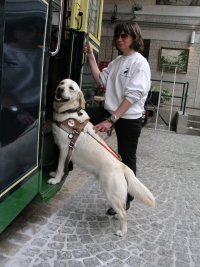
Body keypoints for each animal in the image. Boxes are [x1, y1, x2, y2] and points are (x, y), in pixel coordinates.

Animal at [48, 79, 155, 237]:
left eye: (71, 88)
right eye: (62, 83)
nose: (60, 89)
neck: (69, 114)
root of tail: (123, 166)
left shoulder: (64, 149)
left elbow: (61, 167)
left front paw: (56, 179)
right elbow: (58, 167)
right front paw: (54, 174)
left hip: (111, 193)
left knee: (123, 214)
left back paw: (122, 231)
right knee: (122, 207)